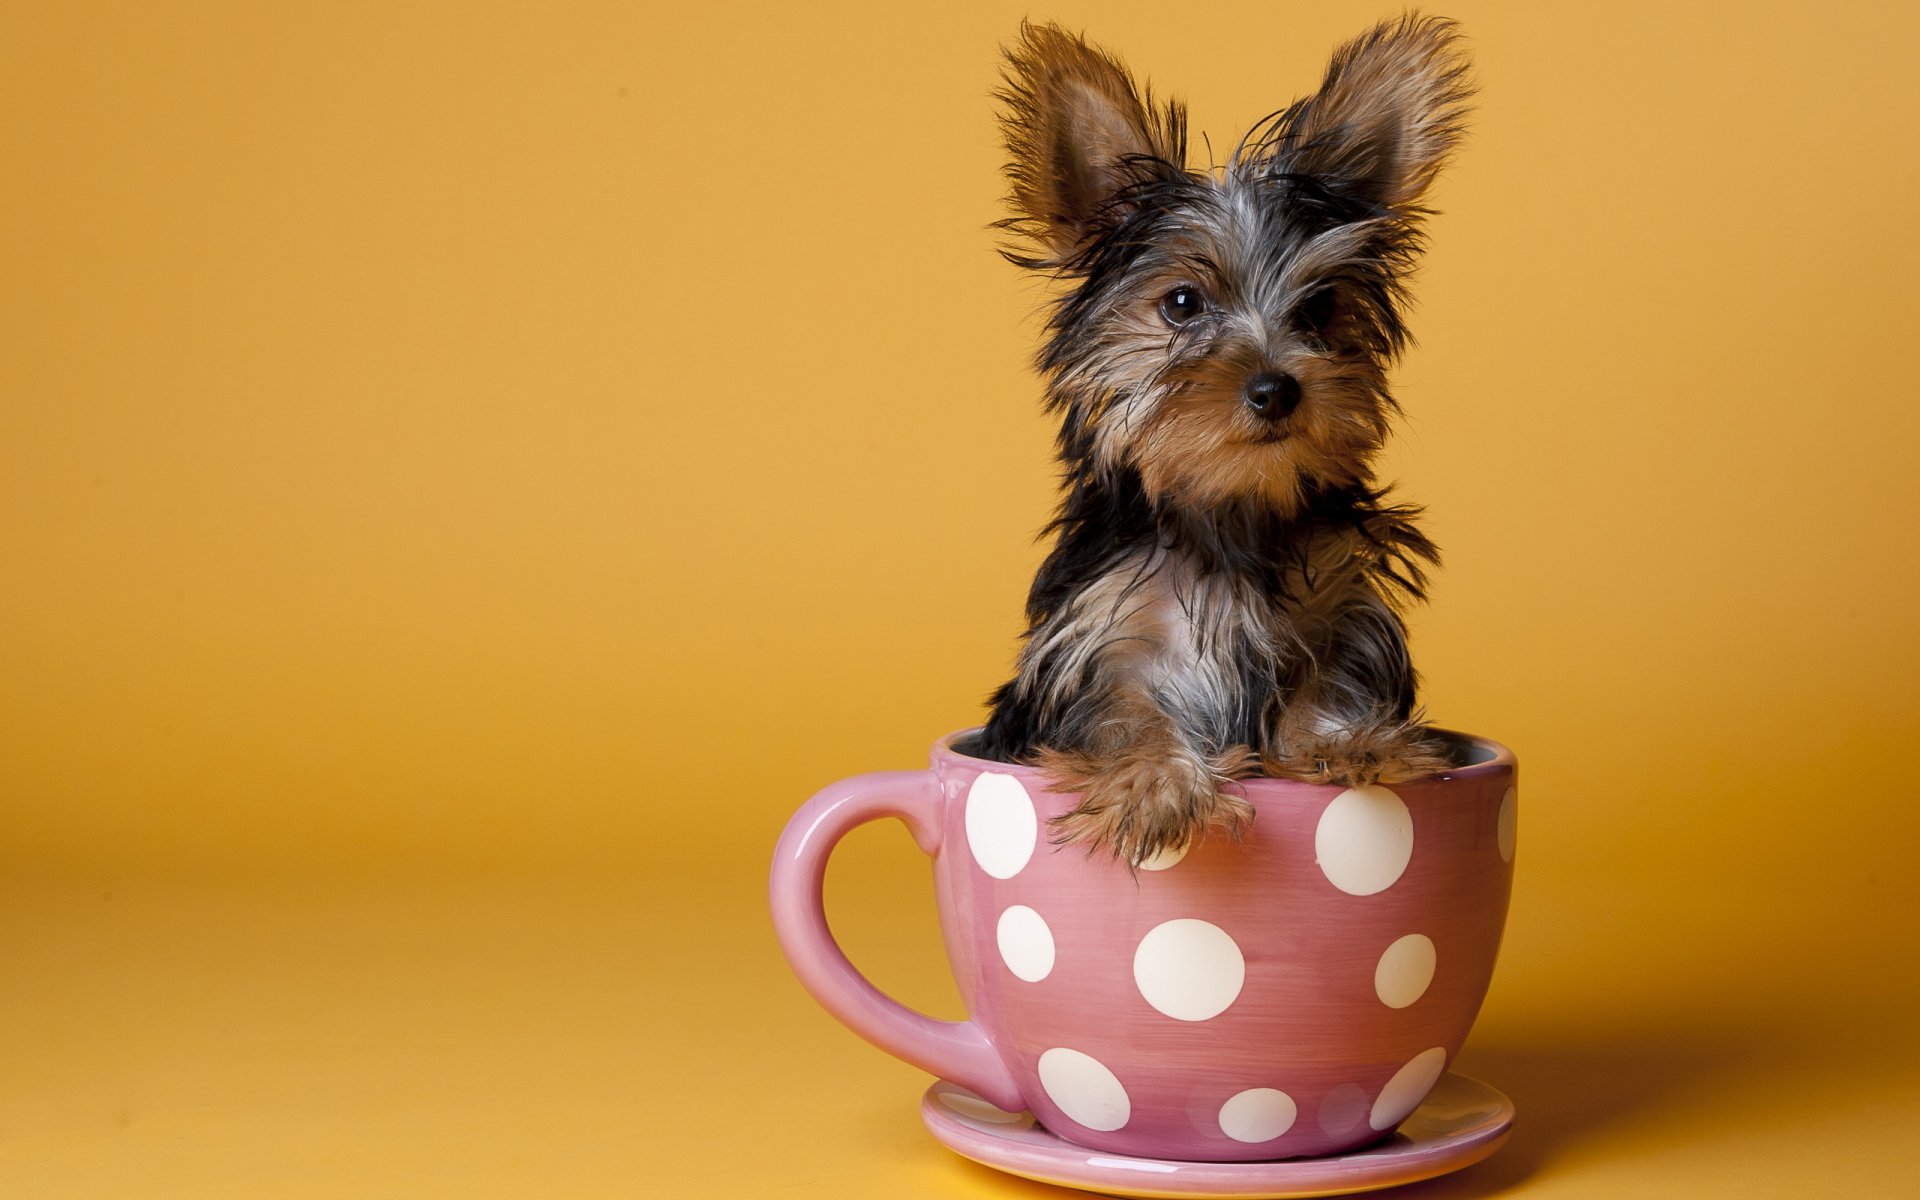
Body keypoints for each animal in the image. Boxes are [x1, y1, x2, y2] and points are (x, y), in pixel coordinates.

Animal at [983, 16, 1474, 860]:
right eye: (1182, 304)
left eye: (1319, 308)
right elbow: (1123, 713)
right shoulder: (1095, 639)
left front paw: (1348, 739)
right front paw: (1155, 786)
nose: (1277, 388)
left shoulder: (1341, 605)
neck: (1229, 507)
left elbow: (1331, 674)